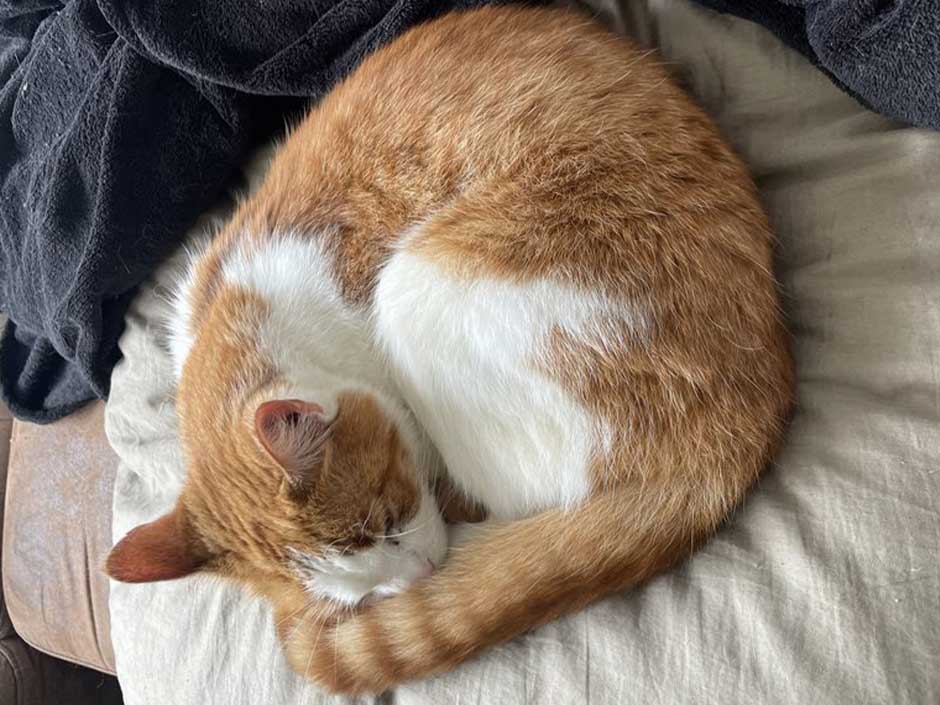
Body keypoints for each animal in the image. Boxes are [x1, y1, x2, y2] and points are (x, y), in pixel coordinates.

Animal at [103, 0, 792, 692]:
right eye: (361, 595)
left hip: (419, 288)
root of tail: (739, 436)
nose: (422, 578)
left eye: (389, 520)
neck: (236, 307)